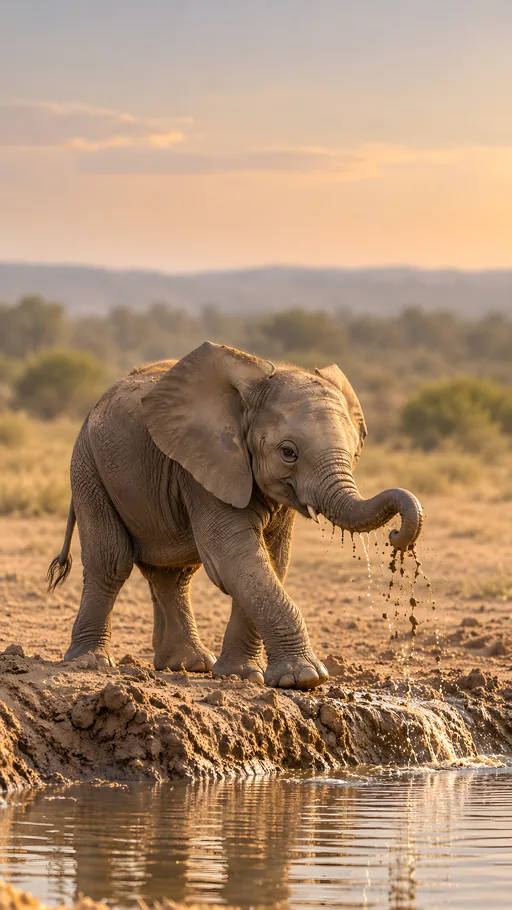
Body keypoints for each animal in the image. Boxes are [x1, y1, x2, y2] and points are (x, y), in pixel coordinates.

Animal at [48, 341, 423, 690]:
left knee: (173, 575)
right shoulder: (203, 466)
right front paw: (304, 679)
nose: (396, 535)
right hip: (87, 465)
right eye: (288, 453)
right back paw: (90, 662)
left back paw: (189, 665)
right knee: (111, 561)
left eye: (354, 450)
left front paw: (241, 675)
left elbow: (270, 560)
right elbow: (234, 556)